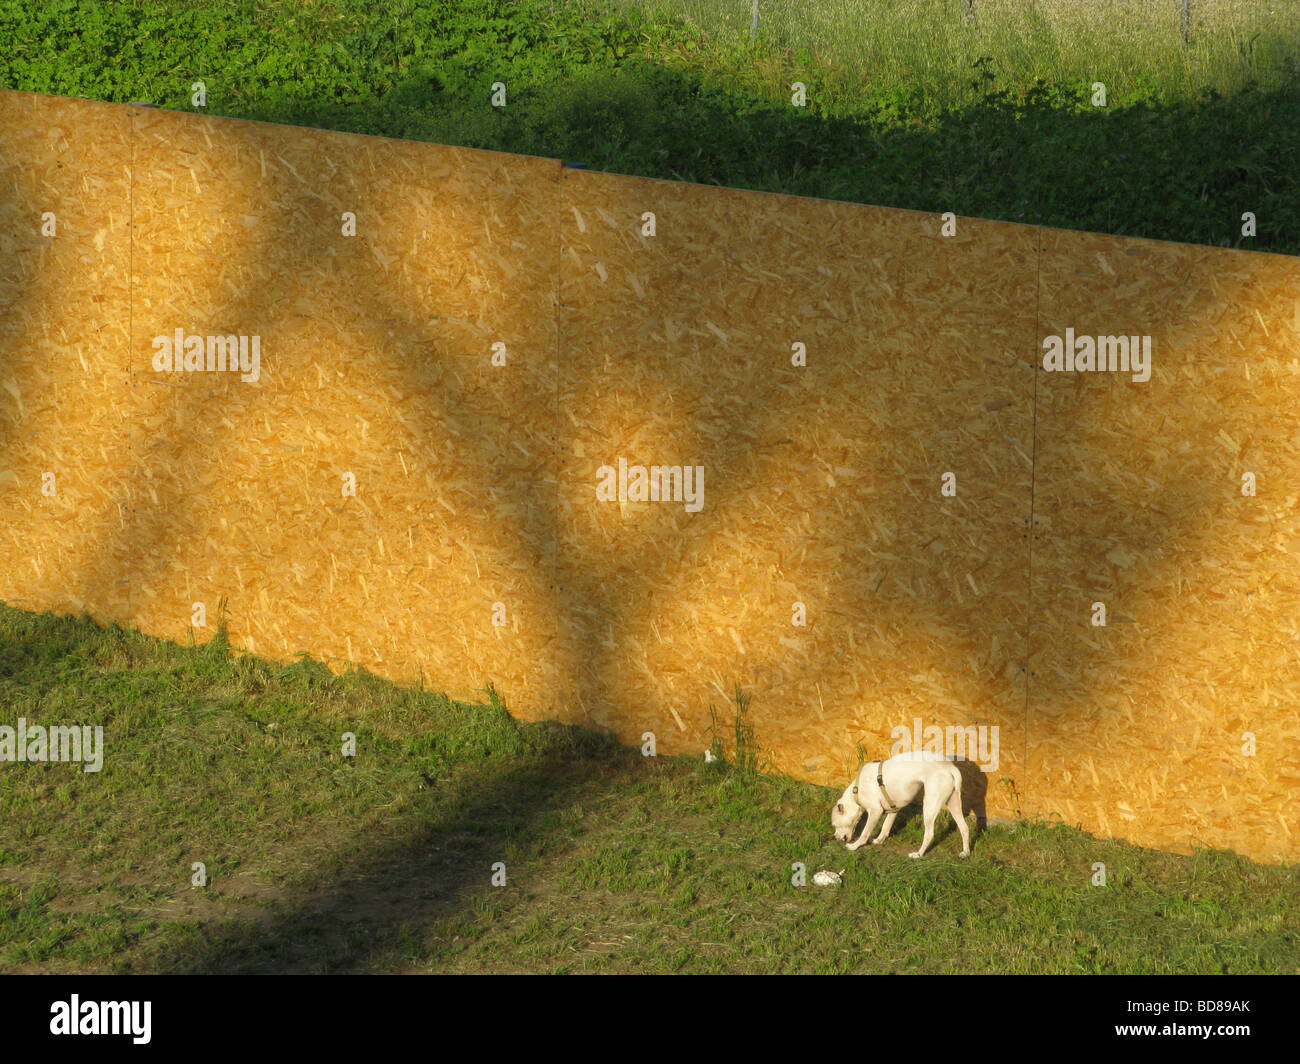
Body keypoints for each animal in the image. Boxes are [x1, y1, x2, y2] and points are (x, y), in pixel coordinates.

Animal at [826, 749, 972, 858]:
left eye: (834, 825)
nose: (835, 837)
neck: (856, 791)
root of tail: (950, 767)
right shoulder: (894, 810)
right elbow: (885, 828)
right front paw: (878, 841)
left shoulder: (875, 811)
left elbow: (864, 833)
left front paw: (854, 846)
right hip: (953, 804)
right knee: (964, 828)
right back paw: (965, 853)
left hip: (929, 806)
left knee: (930, 834)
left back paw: (918, 854)